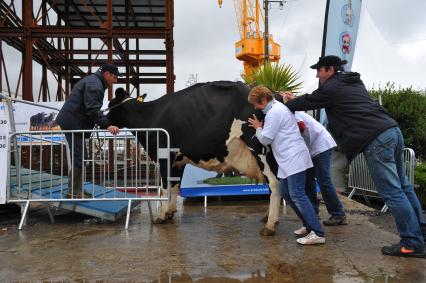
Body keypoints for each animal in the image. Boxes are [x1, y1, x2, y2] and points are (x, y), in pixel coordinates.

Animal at [107, 80, 280, 235]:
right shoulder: (178, 161)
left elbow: (165, 188)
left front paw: (161, 216)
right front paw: (170, 212)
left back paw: (270, 225)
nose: (102, 119)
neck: (149, 116)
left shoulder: (164, 157)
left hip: (261, 150)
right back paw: (268, 218)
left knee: (274, 184)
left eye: (111, 103)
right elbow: (175, 186)